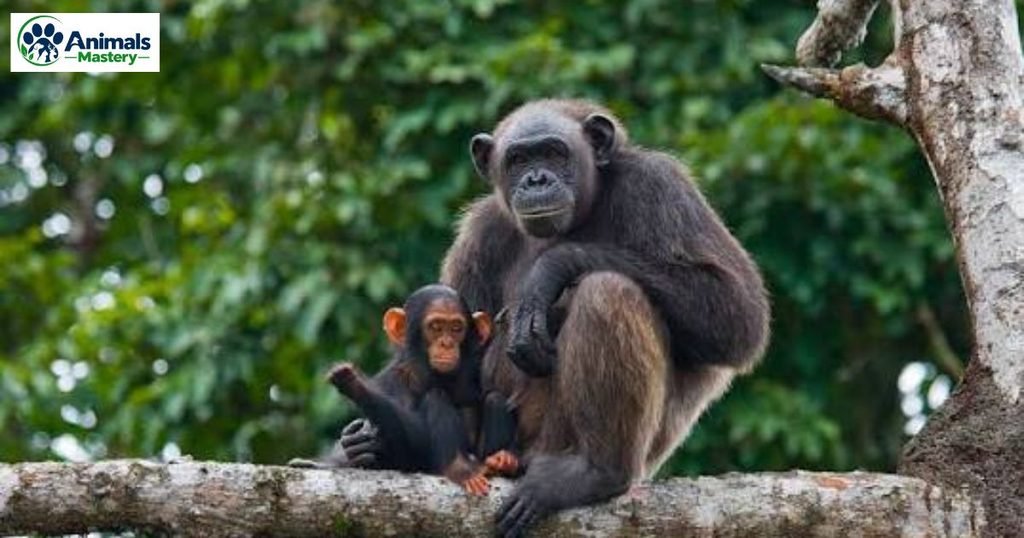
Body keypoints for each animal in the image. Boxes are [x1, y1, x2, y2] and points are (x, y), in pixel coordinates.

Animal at [296, 284, 520, 494]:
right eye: (435, 327)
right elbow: (408, 447)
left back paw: (501, 461)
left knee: (495, 399)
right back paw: (460, 468)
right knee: (435, 397)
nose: (446, 343)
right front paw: (357, 386)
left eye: (457, 328)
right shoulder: (391, 382)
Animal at [333, 99, 770, 537]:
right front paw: (361, 444)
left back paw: (596, 471)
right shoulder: (479, 233)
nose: (536, 179)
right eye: (519, 159)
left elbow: (736, 313)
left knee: (607, 291)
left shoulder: (660, 186)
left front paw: (550, 270)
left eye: (555, 153)